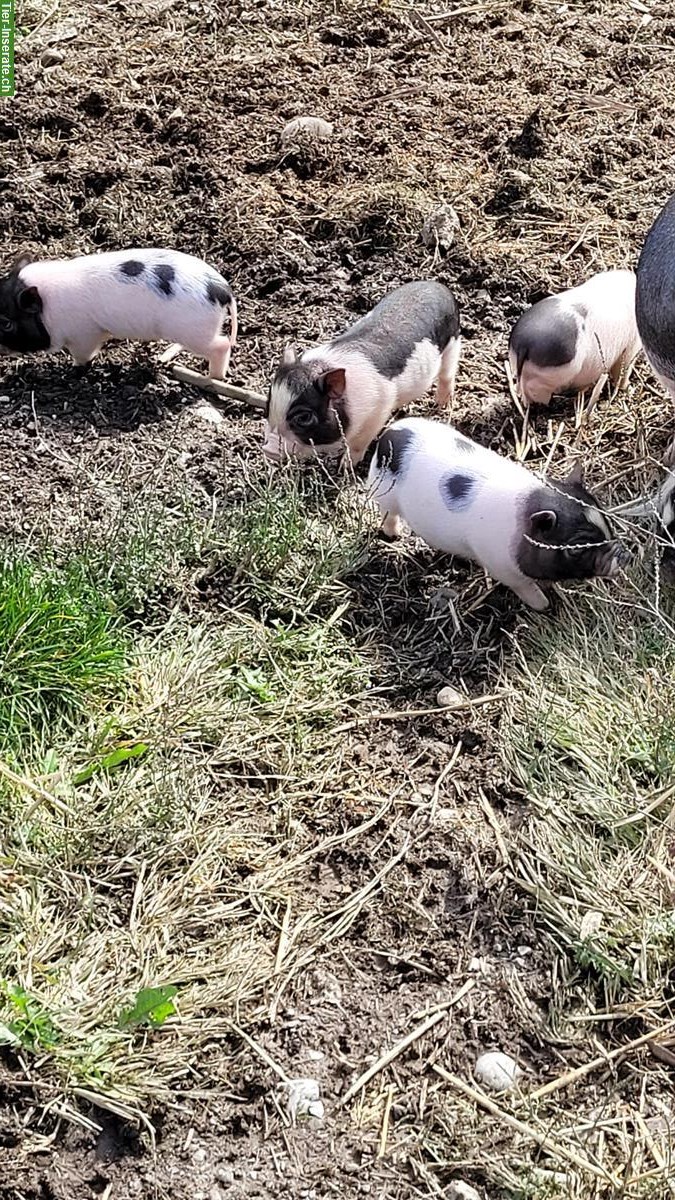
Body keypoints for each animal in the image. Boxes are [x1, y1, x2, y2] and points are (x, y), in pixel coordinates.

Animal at [0, 252, 236, 379]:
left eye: (6, 323)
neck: (48, 309)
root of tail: (223, 290)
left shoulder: (84, 334)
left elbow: (83, 355)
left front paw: (74, 368)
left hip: (194, 332)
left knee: (222, 344)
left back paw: (213, 377)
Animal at [260, 280, 458, 463]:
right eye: (269, 404)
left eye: (304, 417)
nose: (268, 448)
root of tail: (438, 286)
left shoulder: (379, 409)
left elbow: (358, 443)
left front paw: (345, 466)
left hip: (453, 343)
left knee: (447, 375)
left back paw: (440, 404)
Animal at [367, 420, 624, 609]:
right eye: (576, 548)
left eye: (606, 520)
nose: (619, 558)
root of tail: (391, 431)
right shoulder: (503, 569)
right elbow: (527, 591)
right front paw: (545, 607)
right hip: (384, 494)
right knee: (388, 514)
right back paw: (395, 535)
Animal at [506, 270, 638, 405]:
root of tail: (524, 345)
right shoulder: (632, 343)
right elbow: (624, 368)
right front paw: (628, 388)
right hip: (557, 371)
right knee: (535, 388)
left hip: (515, 360)